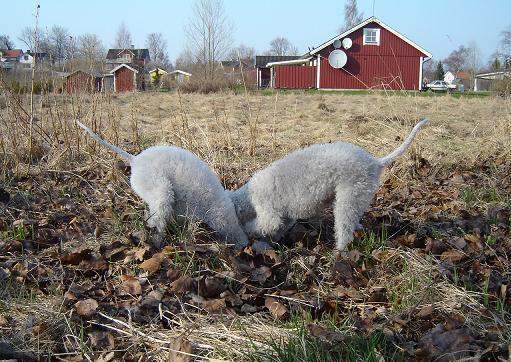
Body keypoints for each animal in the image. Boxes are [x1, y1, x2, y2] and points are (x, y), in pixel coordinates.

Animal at [76, 121, 250, 249]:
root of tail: (136, 160)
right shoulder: (223, 219)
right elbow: (235, 233)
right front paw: (243, 245)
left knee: (152, 215)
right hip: (161, 189)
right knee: (158, 218)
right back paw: (157, 242)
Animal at [230, 119, 430, 252]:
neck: (247, 197)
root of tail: (375, 162)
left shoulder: (267, 212)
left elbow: (263, 224)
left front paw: (249, 232)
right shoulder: (284, 216)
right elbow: (280, 226)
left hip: (349, 197)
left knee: (344, 231)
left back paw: (339, 252)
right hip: (358, 197)